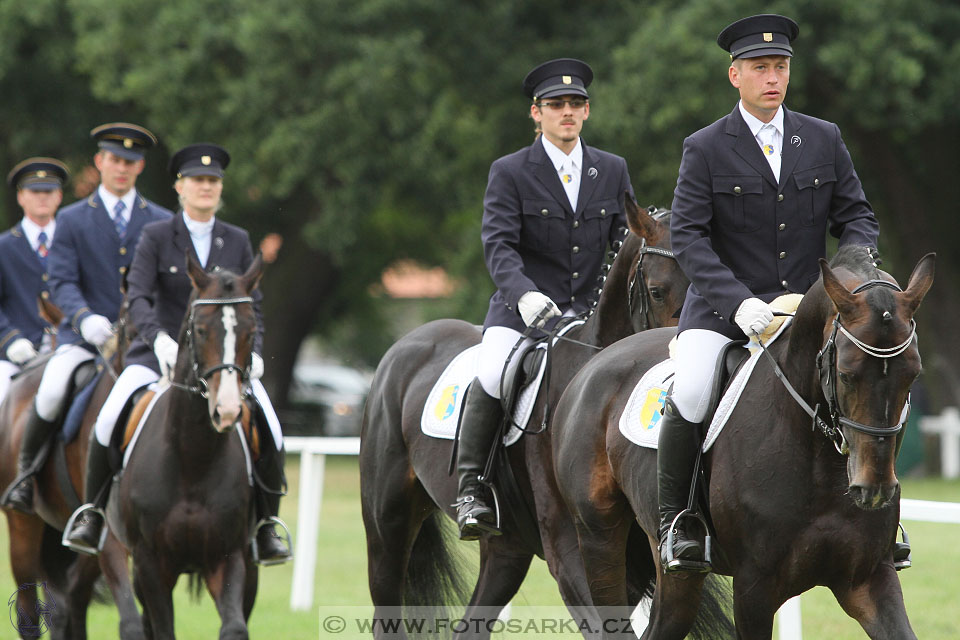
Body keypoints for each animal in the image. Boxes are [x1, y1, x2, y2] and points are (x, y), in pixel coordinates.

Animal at [109, 255, 262, 640]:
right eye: (202, 330)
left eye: (251, 331)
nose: (228, 410)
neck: (193, 457)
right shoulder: (150, 564)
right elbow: (163, 630)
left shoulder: (228, 557)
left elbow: (235, 627)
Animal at [552, 248, 932, 636]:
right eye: (846, 375)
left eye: (913, 374)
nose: (874, 490)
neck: (819, 461)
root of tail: (594, 363)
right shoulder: (754, 590)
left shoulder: (869, 578)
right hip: (600, 540)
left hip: (678, 577)